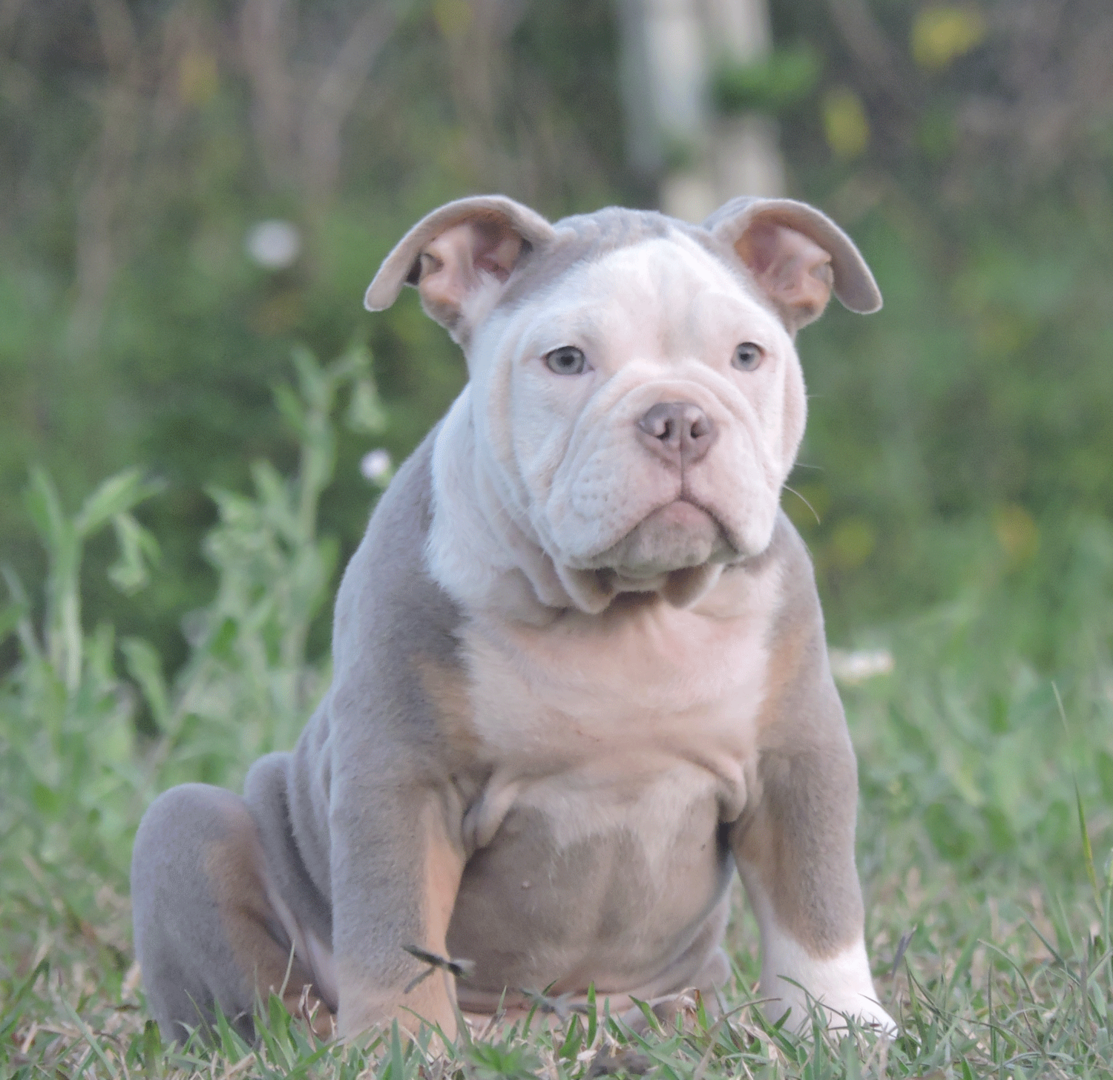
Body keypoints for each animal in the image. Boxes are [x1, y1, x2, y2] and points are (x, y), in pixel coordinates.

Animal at [130, 193, 894, 1042]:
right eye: (565, 361)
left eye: (747, 355)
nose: (678, 419)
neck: (626, 608)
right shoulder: (400, 776)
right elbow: (394, 926)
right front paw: (400, 1044)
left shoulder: (795, 759)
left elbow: (817, 905)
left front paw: (843, 1026)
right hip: (185, 825)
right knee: (258, 986)